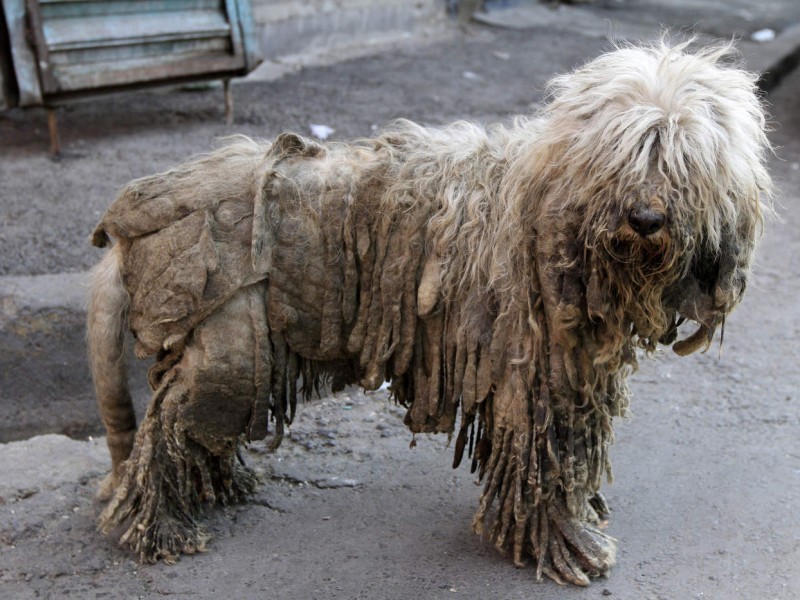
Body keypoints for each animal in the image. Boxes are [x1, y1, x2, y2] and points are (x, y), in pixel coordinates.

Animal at [87, 42, 768, 584]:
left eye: (686, 161)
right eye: (628, 155)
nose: (646, 218)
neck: (551, 216)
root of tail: (124, 228)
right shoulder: (535, 380)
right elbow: (544, 464)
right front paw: (563, 544)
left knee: (194, 429)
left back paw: (216, 486)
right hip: (227, 343)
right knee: (168, 429)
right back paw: (159, 525)